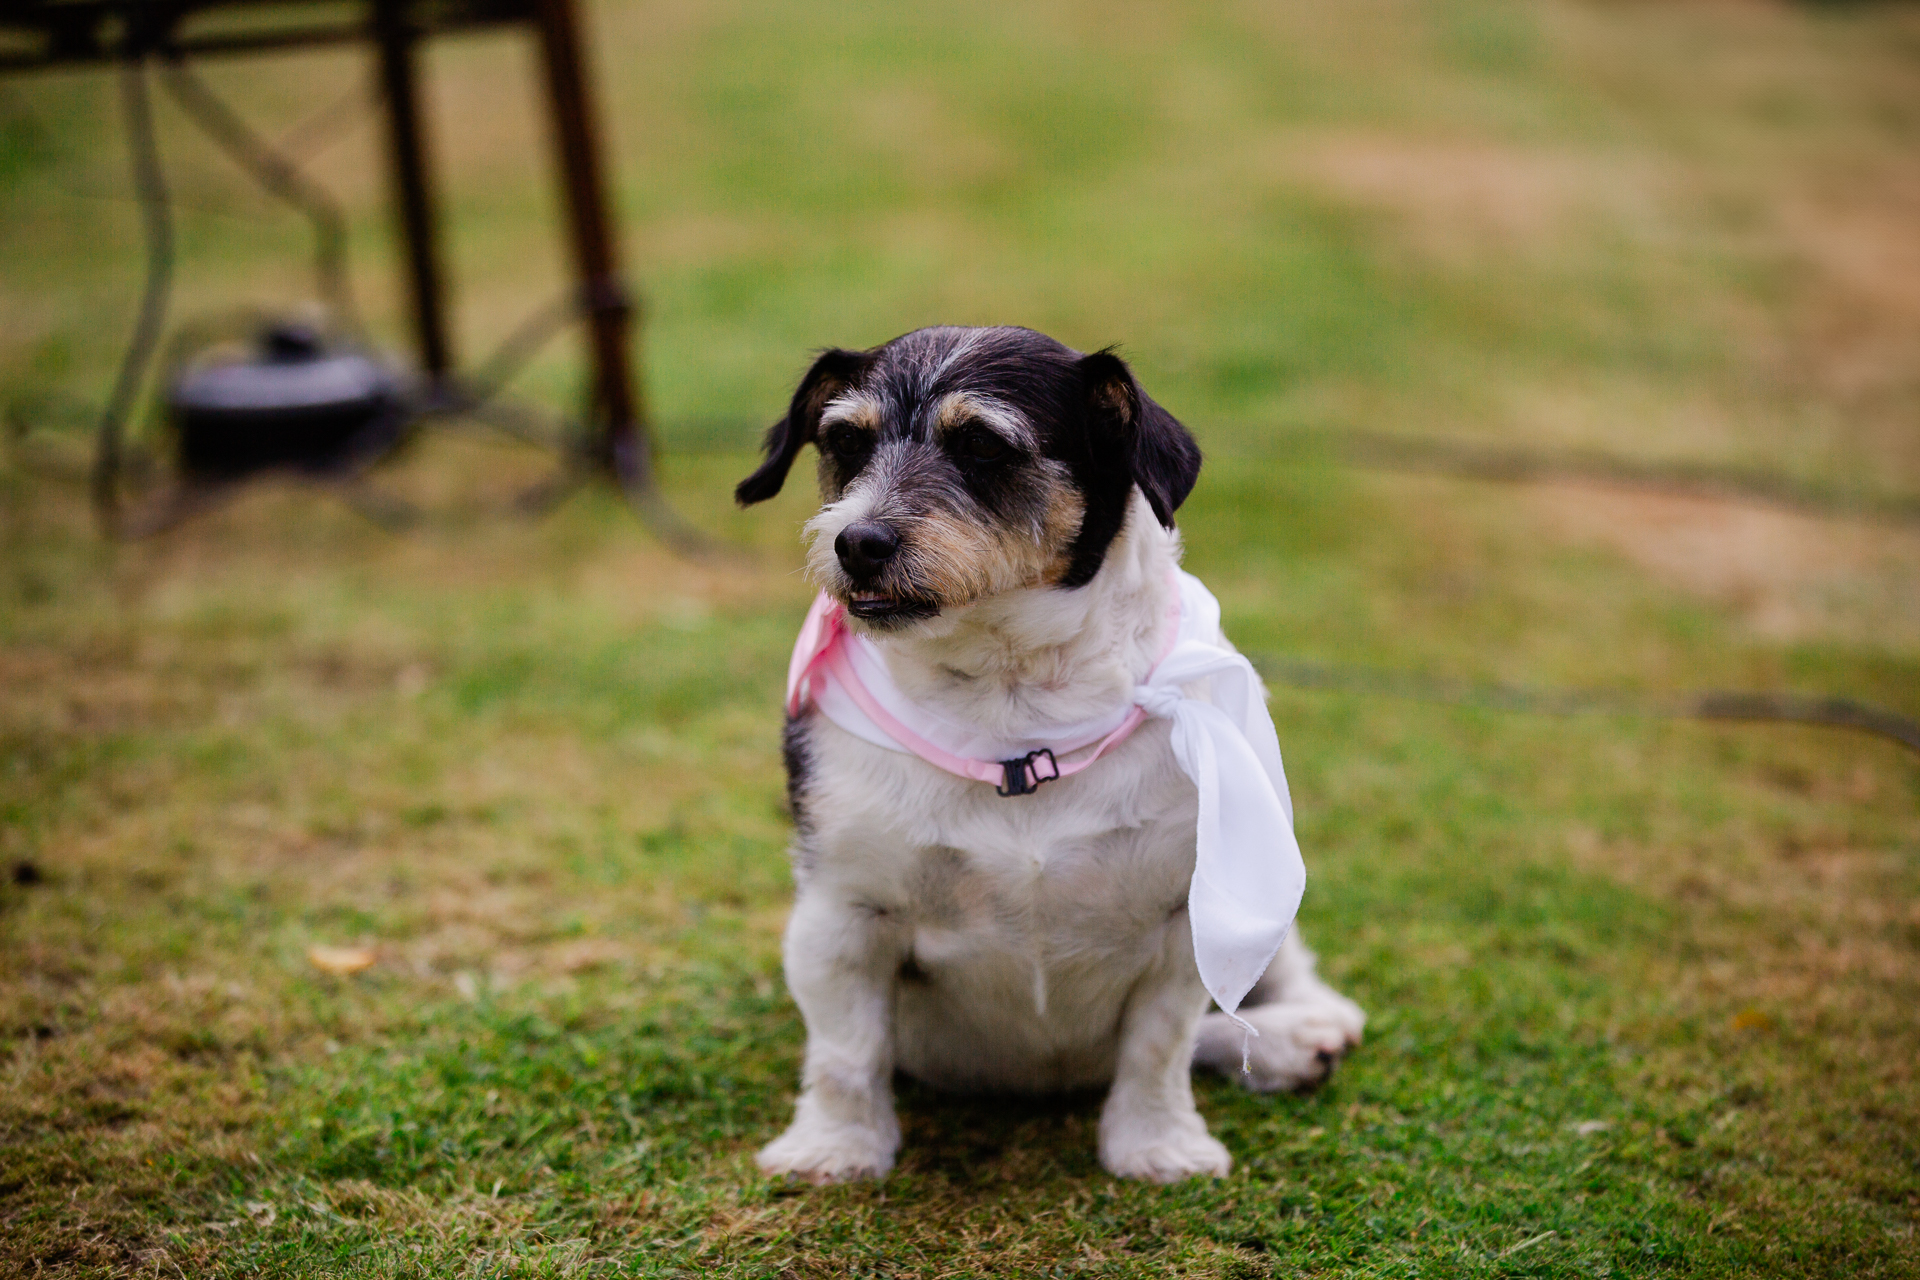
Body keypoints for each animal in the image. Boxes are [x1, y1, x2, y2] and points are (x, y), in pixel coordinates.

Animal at [733, 326, 1367, 1189]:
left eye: (982, 446)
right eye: (844, 442)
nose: (857, 542)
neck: (1014, 717)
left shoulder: (1183, 921)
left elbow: (1159, 1048)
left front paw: (1158, 1145)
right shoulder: (841, 914)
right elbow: (846, 1053)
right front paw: (834, 1148)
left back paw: (1304, 1029)